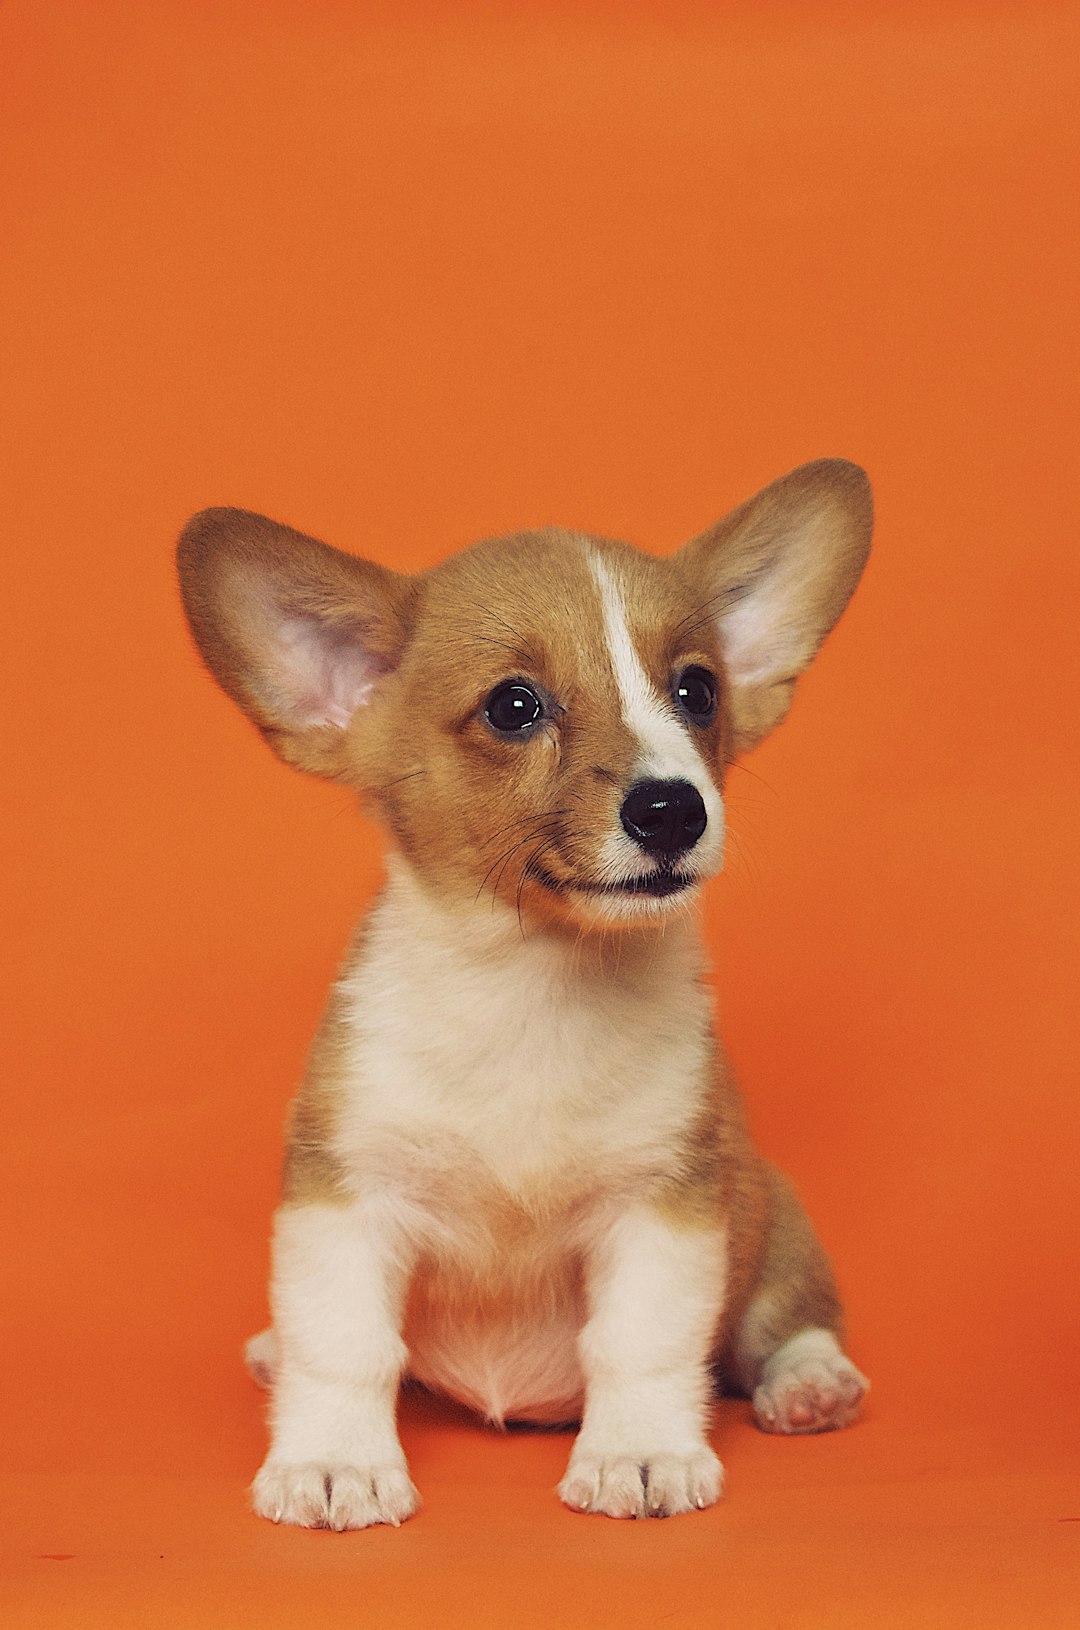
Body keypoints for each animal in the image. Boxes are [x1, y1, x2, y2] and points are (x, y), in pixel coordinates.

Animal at [175, 456, 873, 1525]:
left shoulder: (662, 1206)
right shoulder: (347, 1198)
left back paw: (809, 1385)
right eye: (514, 707)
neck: (534, 986)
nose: (673, 809)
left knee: (784, 1323)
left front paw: (639, 1454)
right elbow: (344, 1346)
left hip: (775, 1222)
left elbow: (641, 1344)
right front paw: (334, 1462)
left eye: (698, 690)